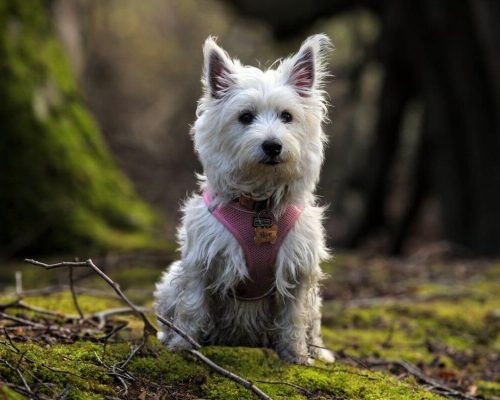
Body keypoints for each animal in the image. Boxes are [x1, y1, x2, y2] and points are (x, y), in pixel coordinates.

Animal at [154, 35, 334, 366]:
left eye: (287, 116)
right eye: (245, 117)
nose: (272, 145)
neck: (259, 206)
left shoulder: (297, 269)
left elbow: (293, 318)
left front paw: (297, 357)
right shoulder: (202, 261)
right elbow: (192, 306)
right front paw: (182, 346)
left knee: (312, 324)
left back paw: (319, 351)